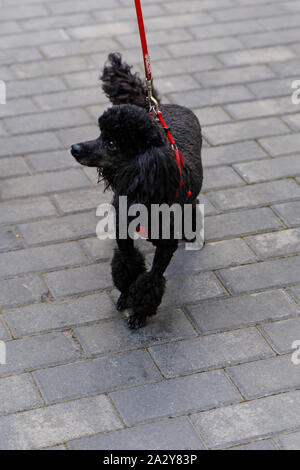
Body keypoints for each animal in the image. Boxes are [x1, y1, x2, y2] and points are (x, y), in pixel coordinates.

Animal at [70, 53, 203, 328]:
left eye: (111, 144)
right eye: (100, 134)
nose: (74, 148)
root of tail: (158, 107)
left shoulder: (166, 246)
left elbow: (152, 279)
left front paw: (140, 311)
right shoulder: (123, 233)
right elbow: (128, 263)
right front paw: (125, 296)